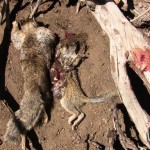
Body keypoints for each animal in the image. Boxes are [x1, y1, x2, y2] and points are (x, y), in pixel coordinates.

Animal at [4, 18, 56, 149]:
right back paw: (45, 119)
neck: (29, 32)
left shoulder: (22, 38)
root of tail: (33, 90)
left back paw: (24, 142)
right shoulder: (40, 32)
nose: (36, 21)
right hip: (46, 95)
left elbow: (16, 38)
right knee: (44, 109)